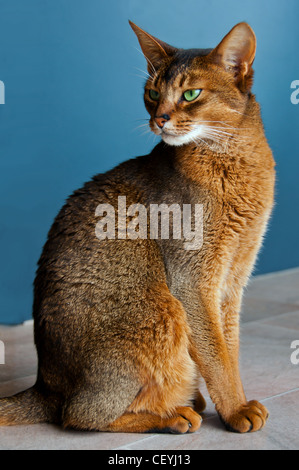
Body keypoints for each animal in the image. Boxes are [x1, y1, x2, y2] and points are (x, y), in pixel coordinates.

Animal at [0, 21, 276, 434]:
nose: (159, 118)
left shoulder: (233, 280)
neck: (236, 159)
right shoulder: (192, 282)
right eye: (152, 93)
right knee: (79, 415)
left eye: (191, 94)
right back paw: (172, 415)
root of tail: (44, 386)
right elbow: (216, 357)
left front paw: (237, 399)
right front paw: (236, 409)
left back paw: (187, 400)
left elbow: (230, 349)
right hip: (160, 312)